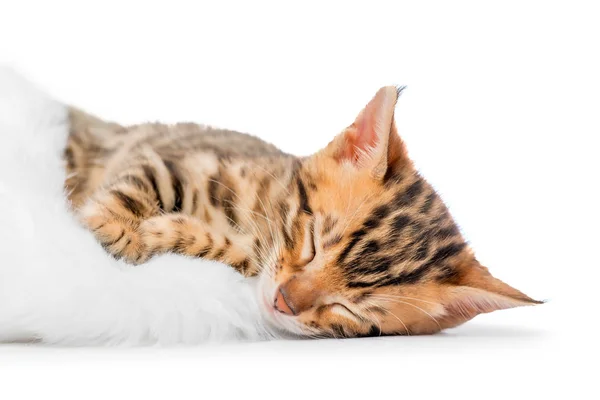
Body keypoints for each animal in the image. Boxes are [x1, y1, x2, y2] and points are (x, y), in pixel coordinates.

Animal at [64, 86, 540, 338]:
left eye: (351, 311)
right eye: (312, 244)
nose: (282, 302)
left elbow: (234, 254)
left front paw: (167, 232)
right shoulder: (181, 157)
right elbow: (142, 182)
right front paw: (113, 225)